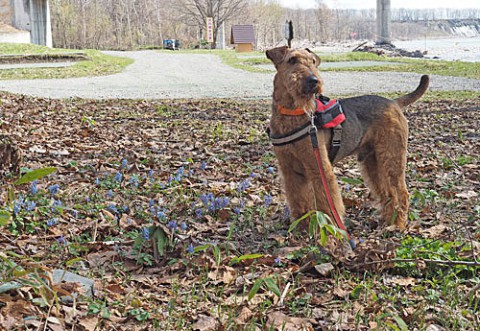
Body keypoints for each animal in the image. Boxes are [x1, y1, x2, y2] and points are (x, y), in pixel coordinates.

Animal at [264, 46, 430, 231]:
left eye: (313, 61)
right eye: (292, 60)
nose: (314, 81)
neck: (292, 113)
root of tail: (393, 102)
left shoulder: (320, 168)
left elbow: (328, 206)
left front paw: (330, 231)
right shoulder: (290, 171)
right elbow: (299, 202)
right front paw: (303, 228)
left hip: (392, 157)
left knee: (402, 194)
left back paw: (399, 225)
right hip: (372, 161)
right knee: (388, 193)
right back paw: (388, 222)